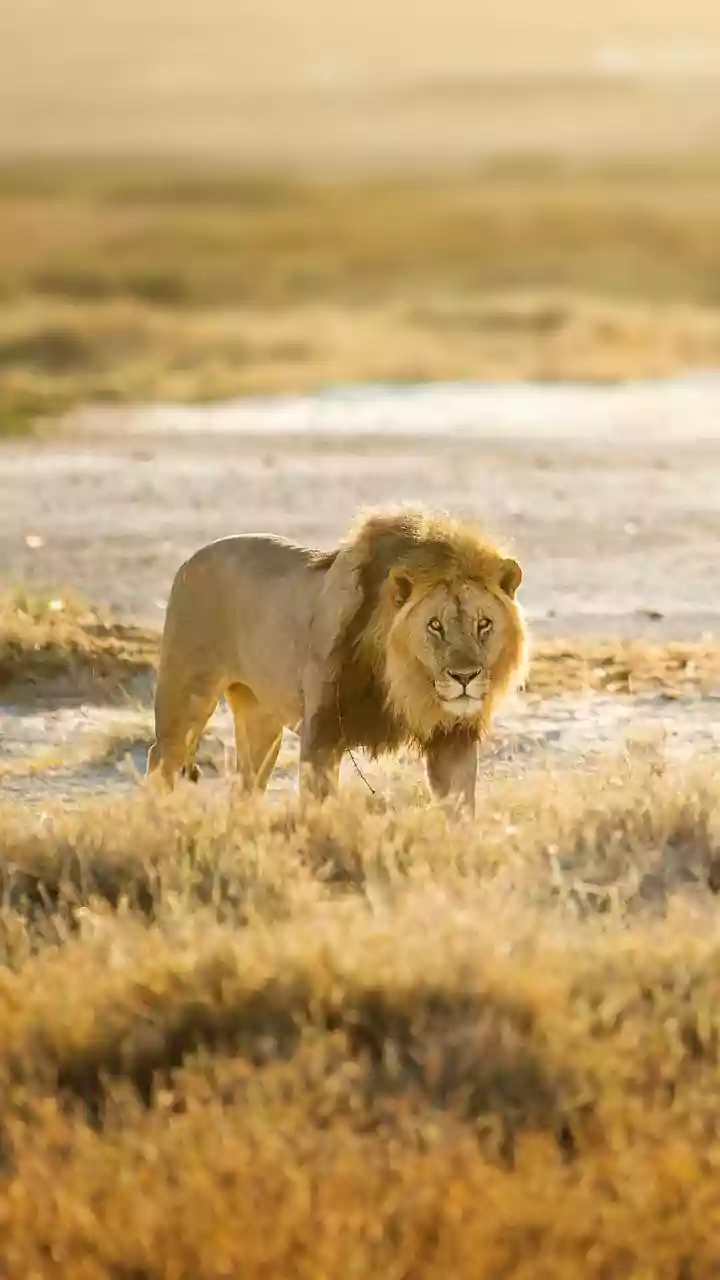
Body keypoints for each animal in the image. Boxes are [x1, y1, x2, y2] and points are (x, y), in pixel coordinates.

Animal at [146, 506, 528, 814]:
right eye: (435, 625)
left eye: (484, 624)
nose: (465, 677)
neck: (405, 684)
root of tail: (191, 559)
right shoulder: (322, 731)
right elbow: (319, 804)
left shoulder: (453, 738)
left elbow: (460, 806)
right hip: (186, 699)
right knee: (161, 760)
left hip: (260, 720)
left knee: (246, 785)